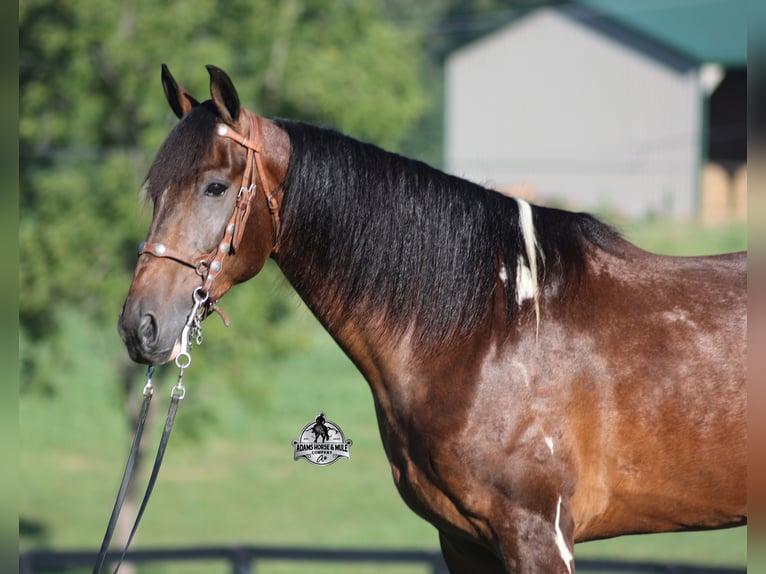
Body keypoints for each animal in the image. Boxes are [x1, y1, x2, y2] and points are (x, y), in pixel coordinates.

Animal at [118, 65, 747, 573]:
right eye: (154, 190)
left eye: (214, 186)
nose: (140, 326)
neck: (488, 331)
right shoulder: (464, 541)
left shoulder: (537, 536)